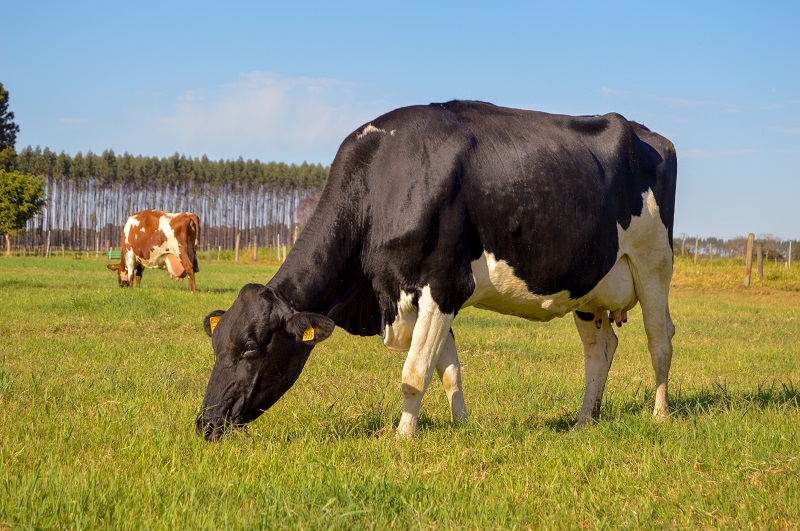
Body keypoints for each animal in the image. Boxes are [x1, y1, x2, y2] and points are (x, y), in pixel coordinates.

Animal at [197, 100, 680, 440]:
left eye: (252, 349)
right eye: (216, 346)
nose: (206, 422)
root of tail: (647, 133)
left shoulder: (444, 283)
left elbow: (414, 373)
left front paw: (402, 438)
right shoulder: (429, 294)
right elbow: (448, 370)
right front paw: (461, 427)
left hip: (655, 263)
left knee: (659, 340)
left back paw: (660, 415)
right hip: (589, 287)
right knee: (600, 350)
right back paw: (584, 421)